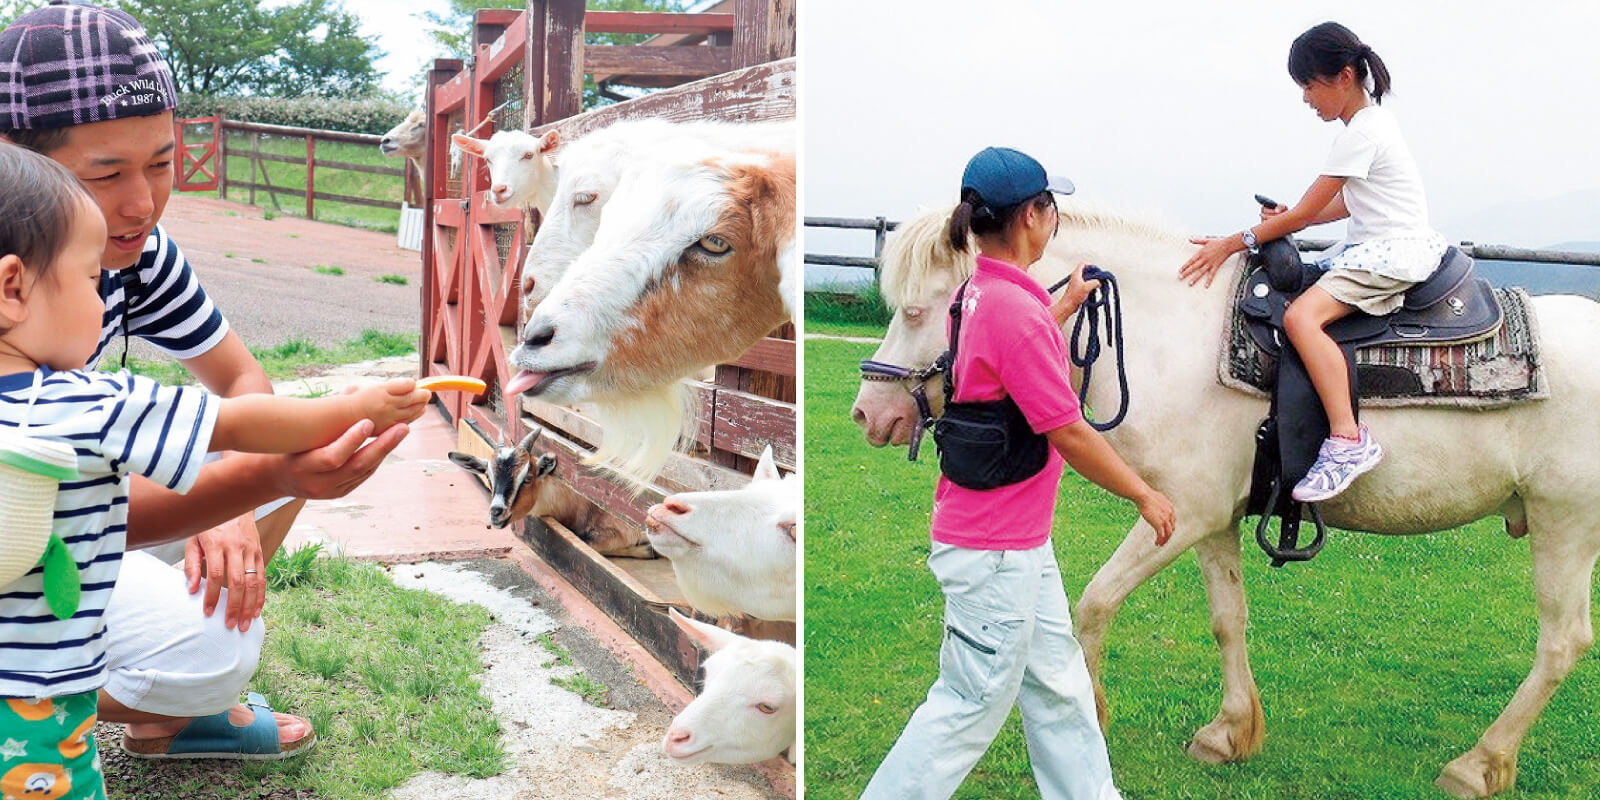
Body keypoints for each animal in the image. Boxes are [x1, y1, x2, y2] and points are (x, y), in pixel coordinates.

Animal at [448, 425, 652, 563]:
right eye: (488, 477)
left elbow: (587, 541)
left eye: (528, 477)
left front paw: (648, 550)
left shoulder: (620, 531)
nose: (496, 512)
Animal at [851, 203, 1600, 796]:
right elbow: (1227, 618)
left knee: (1562, 643)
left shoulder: (1182, 511)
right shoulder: (1214, 520)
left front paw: (1094, 716)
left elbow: (1095, 601)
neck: (1171, 334)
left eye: (919, 310)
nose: (867, 413)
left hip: (1564, 524)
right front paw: (1230, 732)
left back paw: (1479, 764)